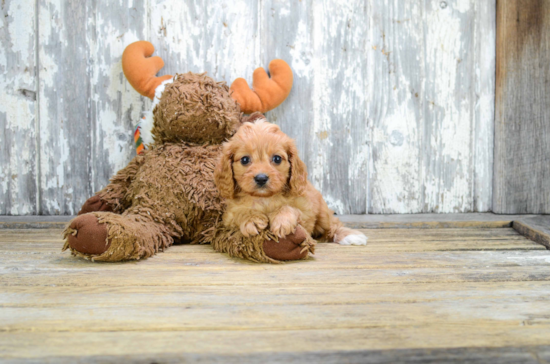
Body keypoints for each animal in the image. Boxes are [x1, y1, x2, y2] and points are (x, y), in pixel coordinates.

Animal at [215, 113, 366, 247]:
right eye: (245, 160)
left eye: (277, 158)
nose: (261, 178)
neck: (265, 199)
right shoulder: (228, 217)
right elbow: (240, 213)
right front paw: (251, 218)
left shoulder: (305, 210)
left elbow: (290, 208)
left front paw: (282, 220)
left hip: (323, 213)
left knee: (333, 225)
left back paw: (349, 235)